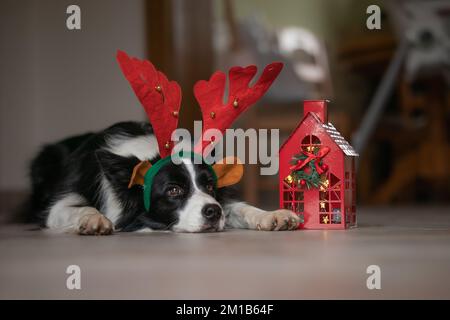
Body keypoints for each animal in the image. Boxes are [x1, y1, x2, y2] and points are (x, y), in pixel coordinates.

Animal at [27, 121, 302, 234]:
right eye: (173, 190)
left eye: (209, 185)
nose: (213, 212)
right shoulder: (59, 205)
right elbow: (78, 208)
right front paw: (95, 220)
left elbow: (239, 207)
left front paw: (272, 216)